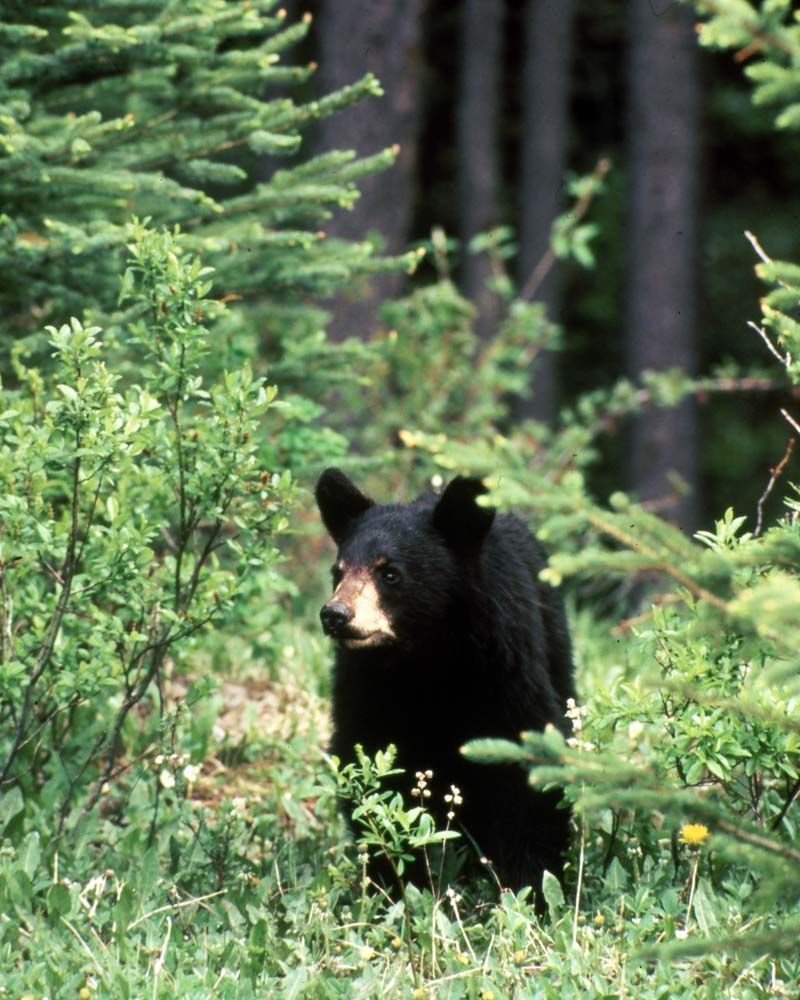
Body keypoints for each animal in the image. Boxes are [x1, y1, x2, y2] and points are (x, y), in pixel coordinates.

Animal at [315, 467, 575, 894]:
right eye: (338, 571)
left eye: (390, 573)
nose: (335, 614)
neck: (427, 661)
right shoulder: (366, 689)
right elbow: (374, 770)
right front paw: (395, 883)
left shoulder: (505, 673)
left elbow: (529, 770)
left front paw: (532, 885)